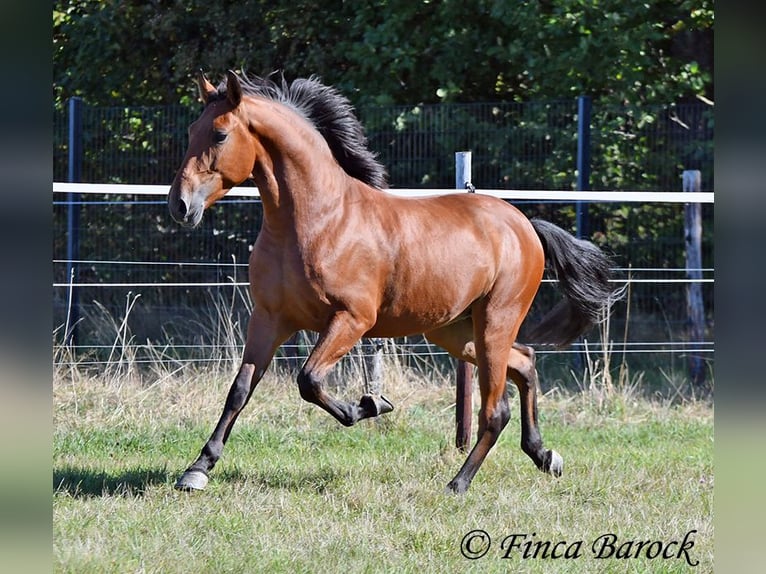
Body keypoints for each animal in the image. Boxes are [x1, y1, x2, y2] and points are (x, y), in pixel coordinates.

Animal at [167, 70, 621, 494]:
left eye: (220, 133)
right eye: (191, 131)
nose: (180, 205)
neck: (318, 221)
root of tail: (524, 225)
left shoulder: (351, 320)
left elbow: (309, 380)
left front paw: (370, 405)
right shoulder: (269, 319)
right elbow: (240, 389)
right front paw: (198, 469)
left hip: (495, 322)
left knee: (495, 410)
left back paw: (459, 483)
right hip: (456, 332)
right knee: (525, 362)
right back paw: (545, 455)